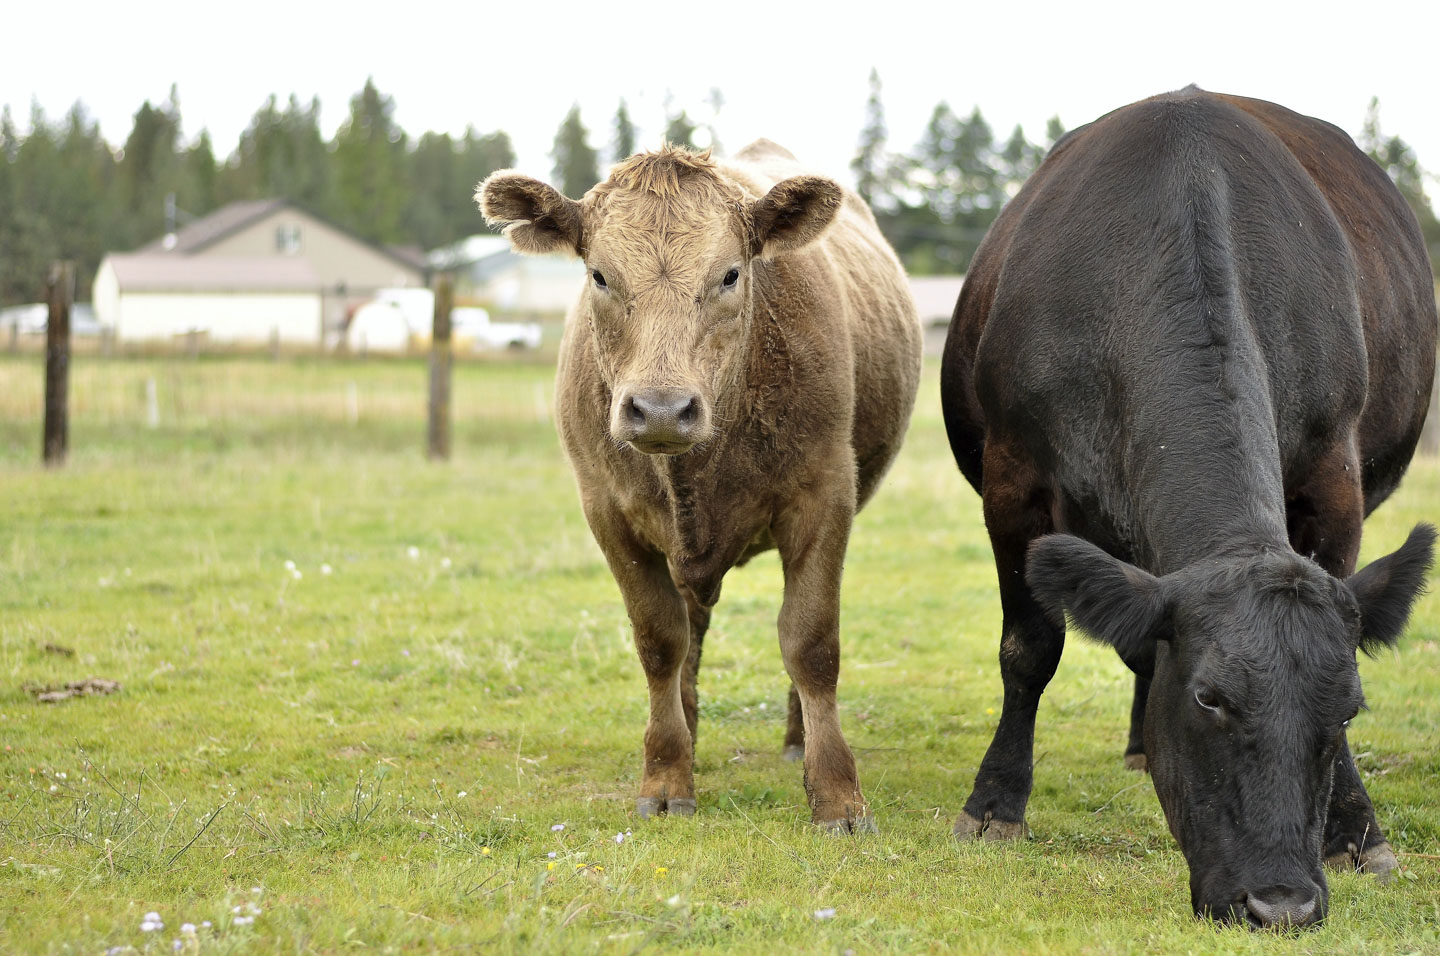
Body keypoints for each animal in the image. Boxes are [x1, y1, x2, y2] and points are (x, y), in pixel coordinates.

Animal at [477, 141, 922, 833]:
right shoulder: (606, 511)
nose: (661, 410)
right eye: (599, 275)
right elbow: (660, 641)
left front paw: (837, 794)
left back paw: (795, 740)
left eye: (731, 274)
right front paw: (665, 775)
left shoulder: (826, 494)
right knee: (689, 632)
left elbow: (811, 641)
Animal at [939, 87, 1436, 927]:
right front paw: (994, 804)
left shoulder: (1334, 487)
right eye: (1209, 698)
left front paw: (1358, 831)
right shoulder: (1013, 482)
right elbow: (1028, 649)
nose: (1280, 905)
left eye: (1350, 710)